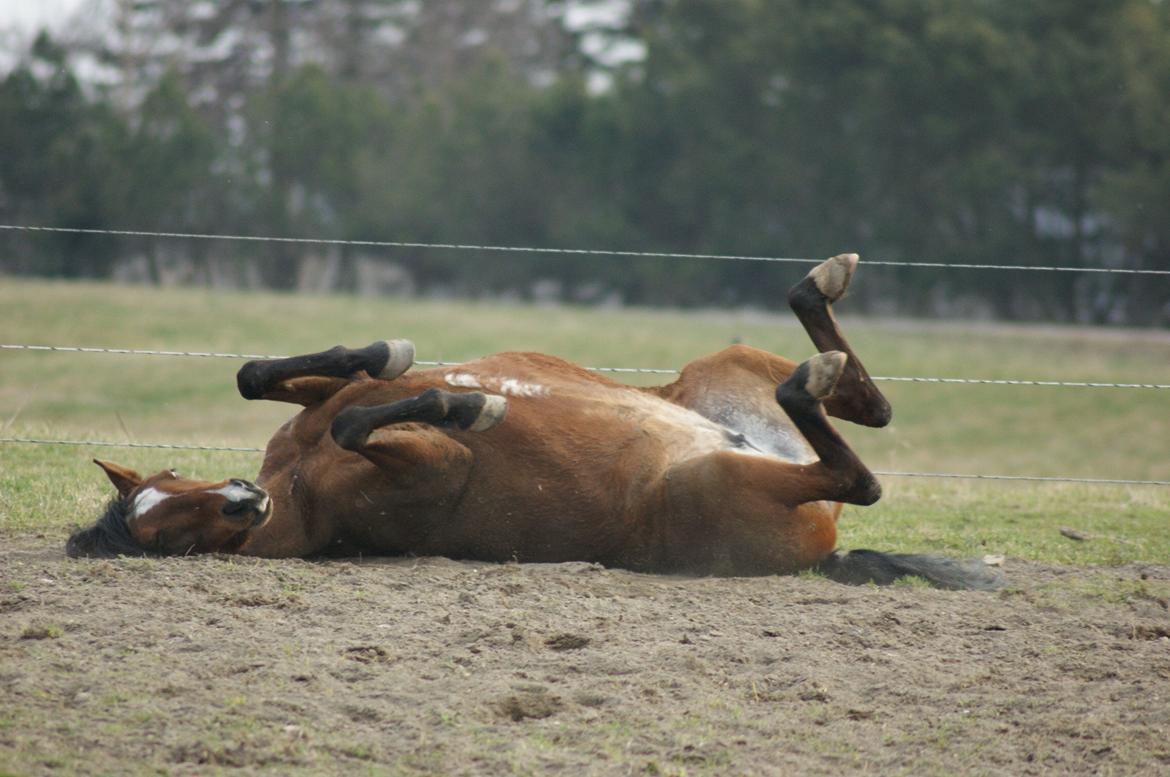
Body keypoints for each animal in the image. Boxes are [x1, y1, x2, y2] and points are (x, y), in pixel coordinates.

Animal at [68, 255, 1006, 589]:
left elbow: (278, 376)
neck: (293, 488)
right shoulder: (429, 468)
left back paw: (823, 292)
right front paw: (471, 400)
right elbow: (363, 422)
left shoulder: (312, 409)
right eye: (167, 538)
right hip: (721, 476)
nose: (242, 501)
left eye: (169, 482)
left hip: (721, 370)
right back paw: (813, 373)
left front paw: (395, 354)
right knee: (857, 470)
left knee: (871, 404)